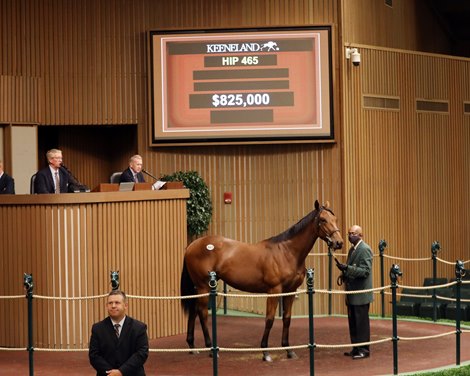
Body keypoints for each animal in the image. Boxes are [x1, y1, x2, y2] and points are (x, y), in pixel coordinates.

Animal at [180, 200, 342, 362]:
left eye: (335, 219)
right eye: (323, 220)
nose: (339, 242)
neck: (287, 252)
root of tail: (191, 246)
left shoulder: (290, 291)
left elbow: (287, 319)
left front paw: (289, 350)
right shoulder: (274, 291)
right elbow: (269, 319)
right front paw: (265, 352)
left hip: (198, 288)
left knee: (194, 310)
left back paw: (193, 347)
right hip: (203, 286)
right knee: (202, 313)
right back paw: (211, 348)